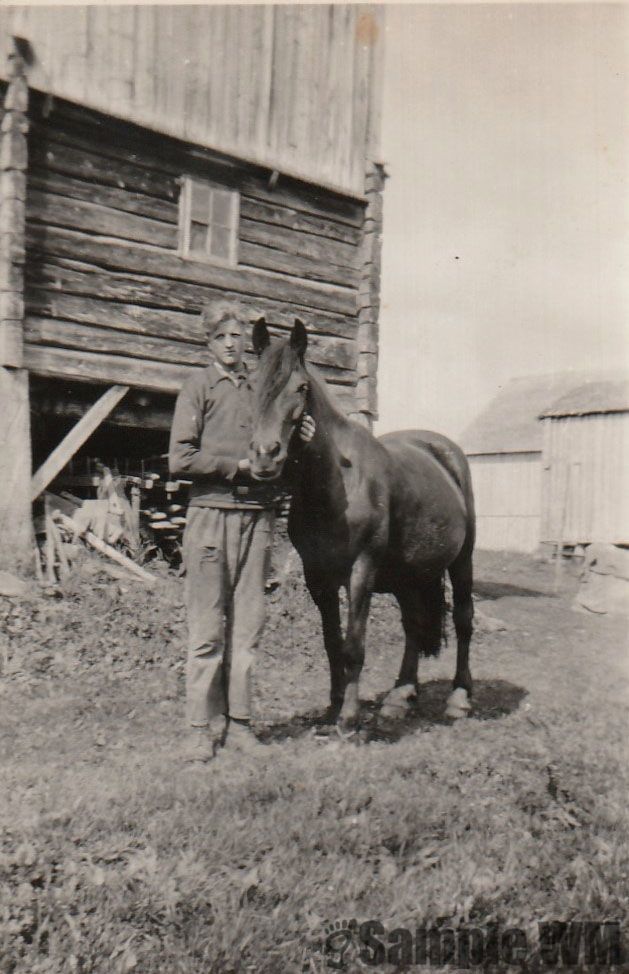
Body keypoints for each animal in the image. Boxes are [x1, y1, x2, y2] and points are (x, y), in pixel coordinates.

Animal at [248, 316, 474, 728]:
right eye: (251, 382)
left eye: (301, 388)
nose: (265, 457)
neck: (337, 485)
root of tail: (444, 452)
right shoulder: (317, 576)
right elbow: (331, 642)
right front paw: (334, 706)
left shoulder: (361, 569)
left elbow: (354, 644)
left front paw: (349, 719)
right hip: (408, 575)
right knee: (414, 624)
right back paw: (400, 696)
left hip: (462, 560)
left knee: (464, 619)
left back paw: (459, 698)